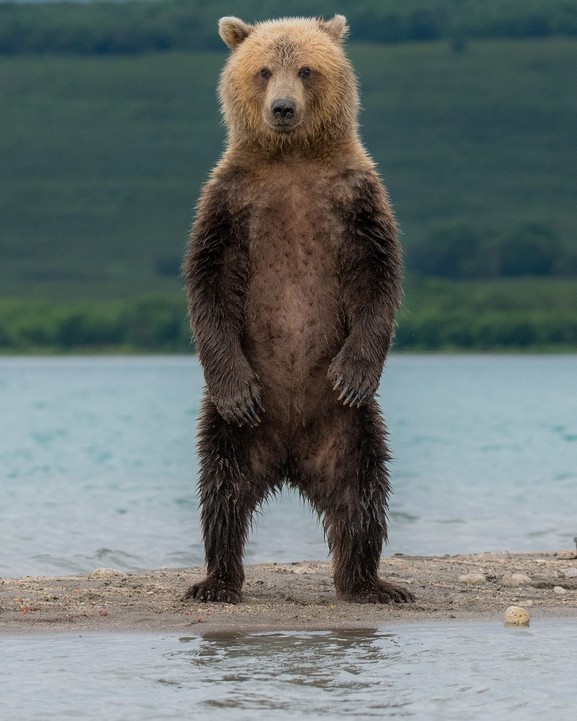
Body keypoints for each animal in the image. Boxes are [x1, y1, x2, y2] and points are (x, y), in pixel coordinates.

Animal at [182, 14, 412, 604]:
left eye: (306, 69)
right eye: (265, 70)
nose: (283, 108)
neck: (292, 160)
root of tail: (288, 459)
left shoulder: (356, 199)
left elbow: (380, 278)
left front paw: (354, 372)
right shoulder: (230, 202)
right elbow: (208, 283)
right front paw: (237, 390)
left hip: (350, 427)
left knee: (363, 493)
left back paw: (370, 582)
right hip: (235, 430)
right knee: (221, 491)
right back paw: (217, 580)